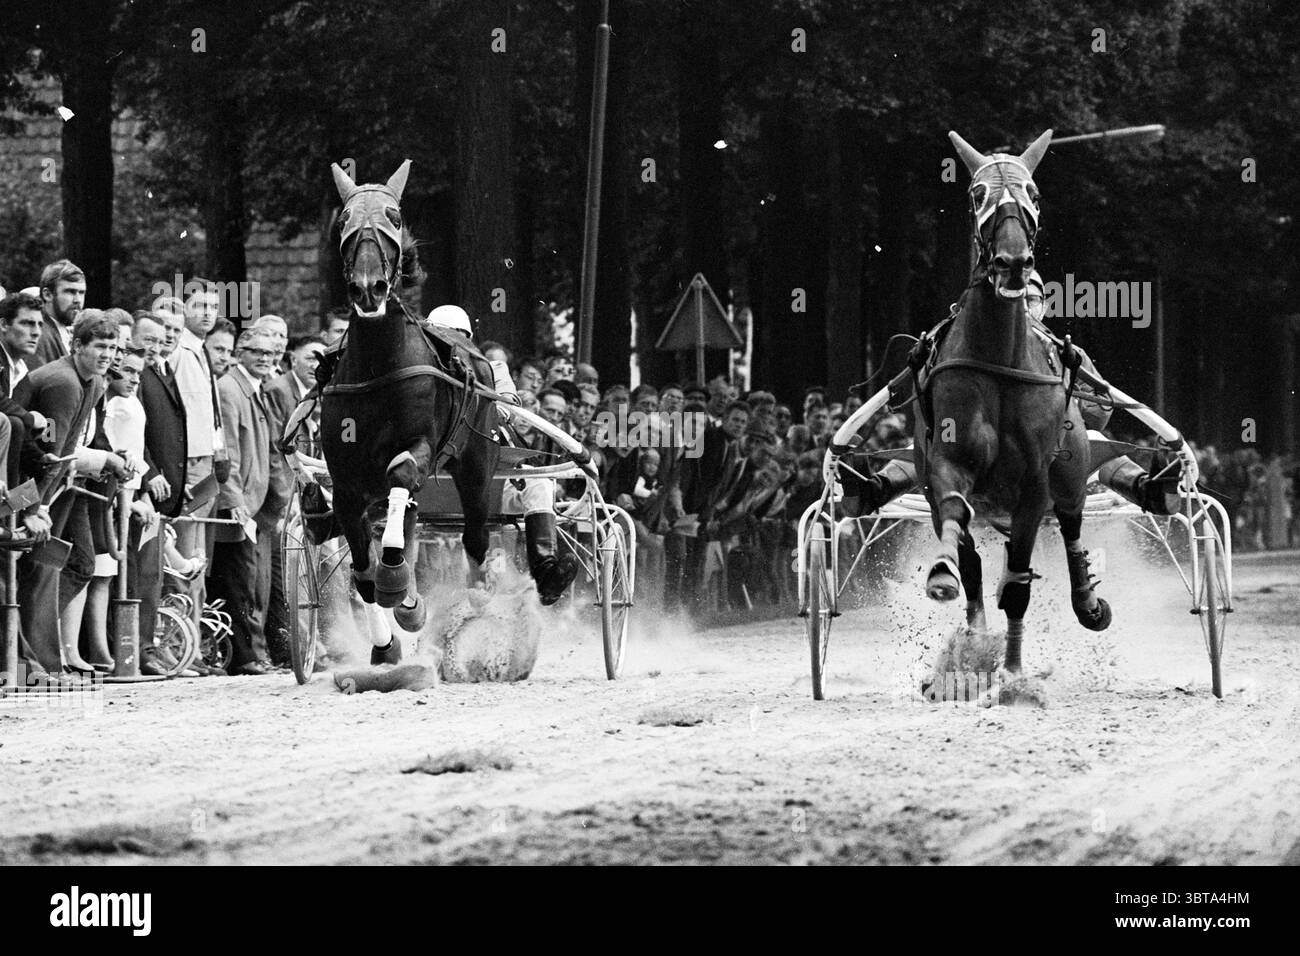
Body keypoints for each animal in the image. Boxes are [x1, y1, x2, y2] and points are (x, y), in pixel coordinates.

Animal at [320, 159, 500, 663]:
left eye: (394, 216)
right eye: (344, 220)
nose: (368, 288)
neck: (379, 365)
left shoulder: (418, 446)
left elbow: (402, 471)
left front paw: (397, 581)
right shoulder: (346, 484)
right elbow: (363, 576)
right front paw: (386, 643)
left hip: (476, 465)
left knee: (474, 537)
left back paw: (471, 606)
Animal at [913, 129, 1110, 676]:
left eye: (1034, 194)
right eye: (977, 194)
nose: (1013, 261)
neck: (1000, 356)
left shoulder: (1034, 485)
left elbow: (1020, 583)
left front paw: (1015, 673)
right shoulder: (948, 462)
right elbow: (955, 523)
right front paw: (944, 573)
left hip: (1073, 471)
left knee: (1071, 524)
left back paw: (1087, 601)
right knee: (975, 563)